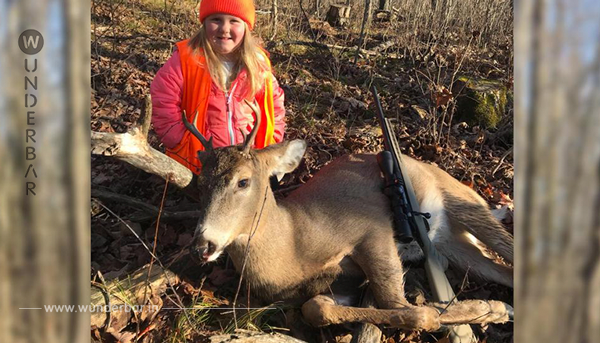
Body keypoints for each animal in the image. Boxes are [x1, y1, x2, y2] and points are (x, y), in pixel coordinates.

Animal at [185, 102, 512, 334]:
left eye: (243, 181)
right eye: (200, 183)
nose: (202, 246)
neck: (294, 246)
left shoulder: (370, 229)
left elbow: (395, 301)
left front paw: (481, 308)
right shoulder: (333, 287)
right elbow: (316, 309)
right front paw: (488, 308)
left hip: (462, 200)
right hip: (454, 244)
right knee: (499, 270)